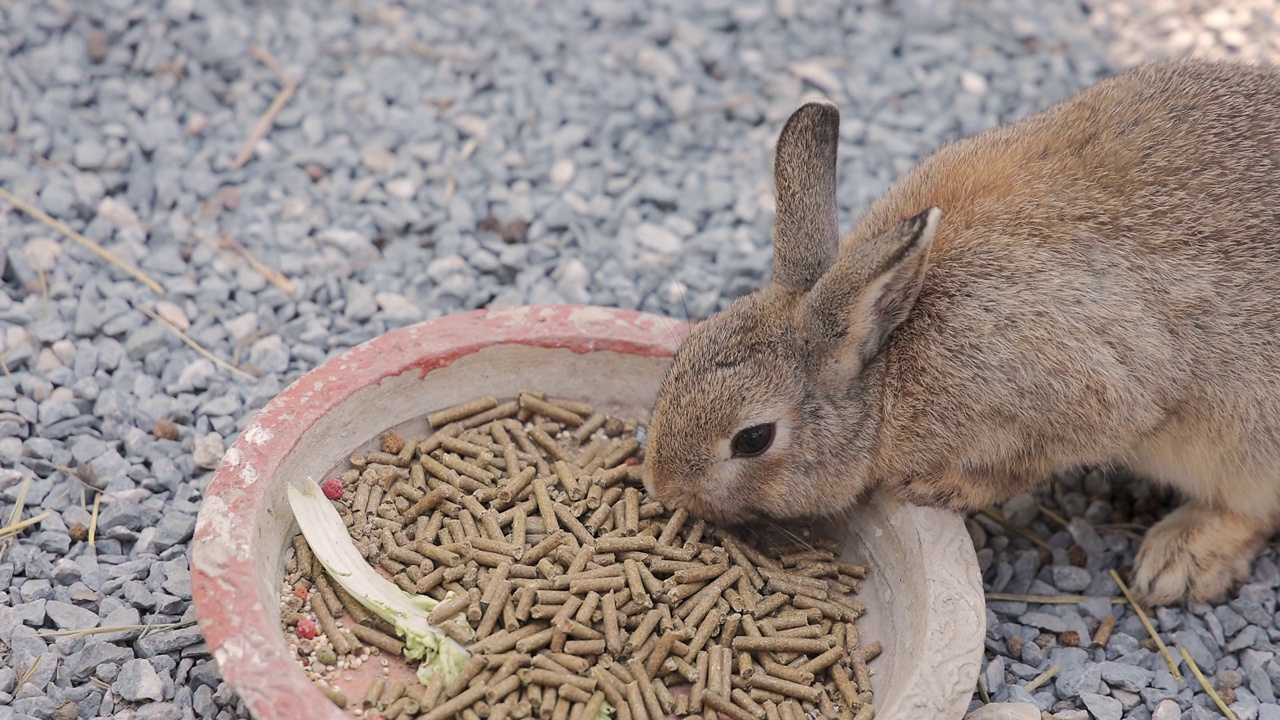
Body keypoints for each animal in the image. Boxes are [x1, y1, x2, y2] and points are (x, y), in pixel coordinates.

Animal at [645, 57, 1280, 604]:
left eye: (753, 438)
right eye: (684, 353)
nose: (661, 486)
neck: (885, 368)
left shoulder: (1085, 402)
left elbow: (1019, 467)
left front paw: (939, 489)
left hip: (1241, 437)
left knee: (1250, 507)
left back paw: (1178, 561)